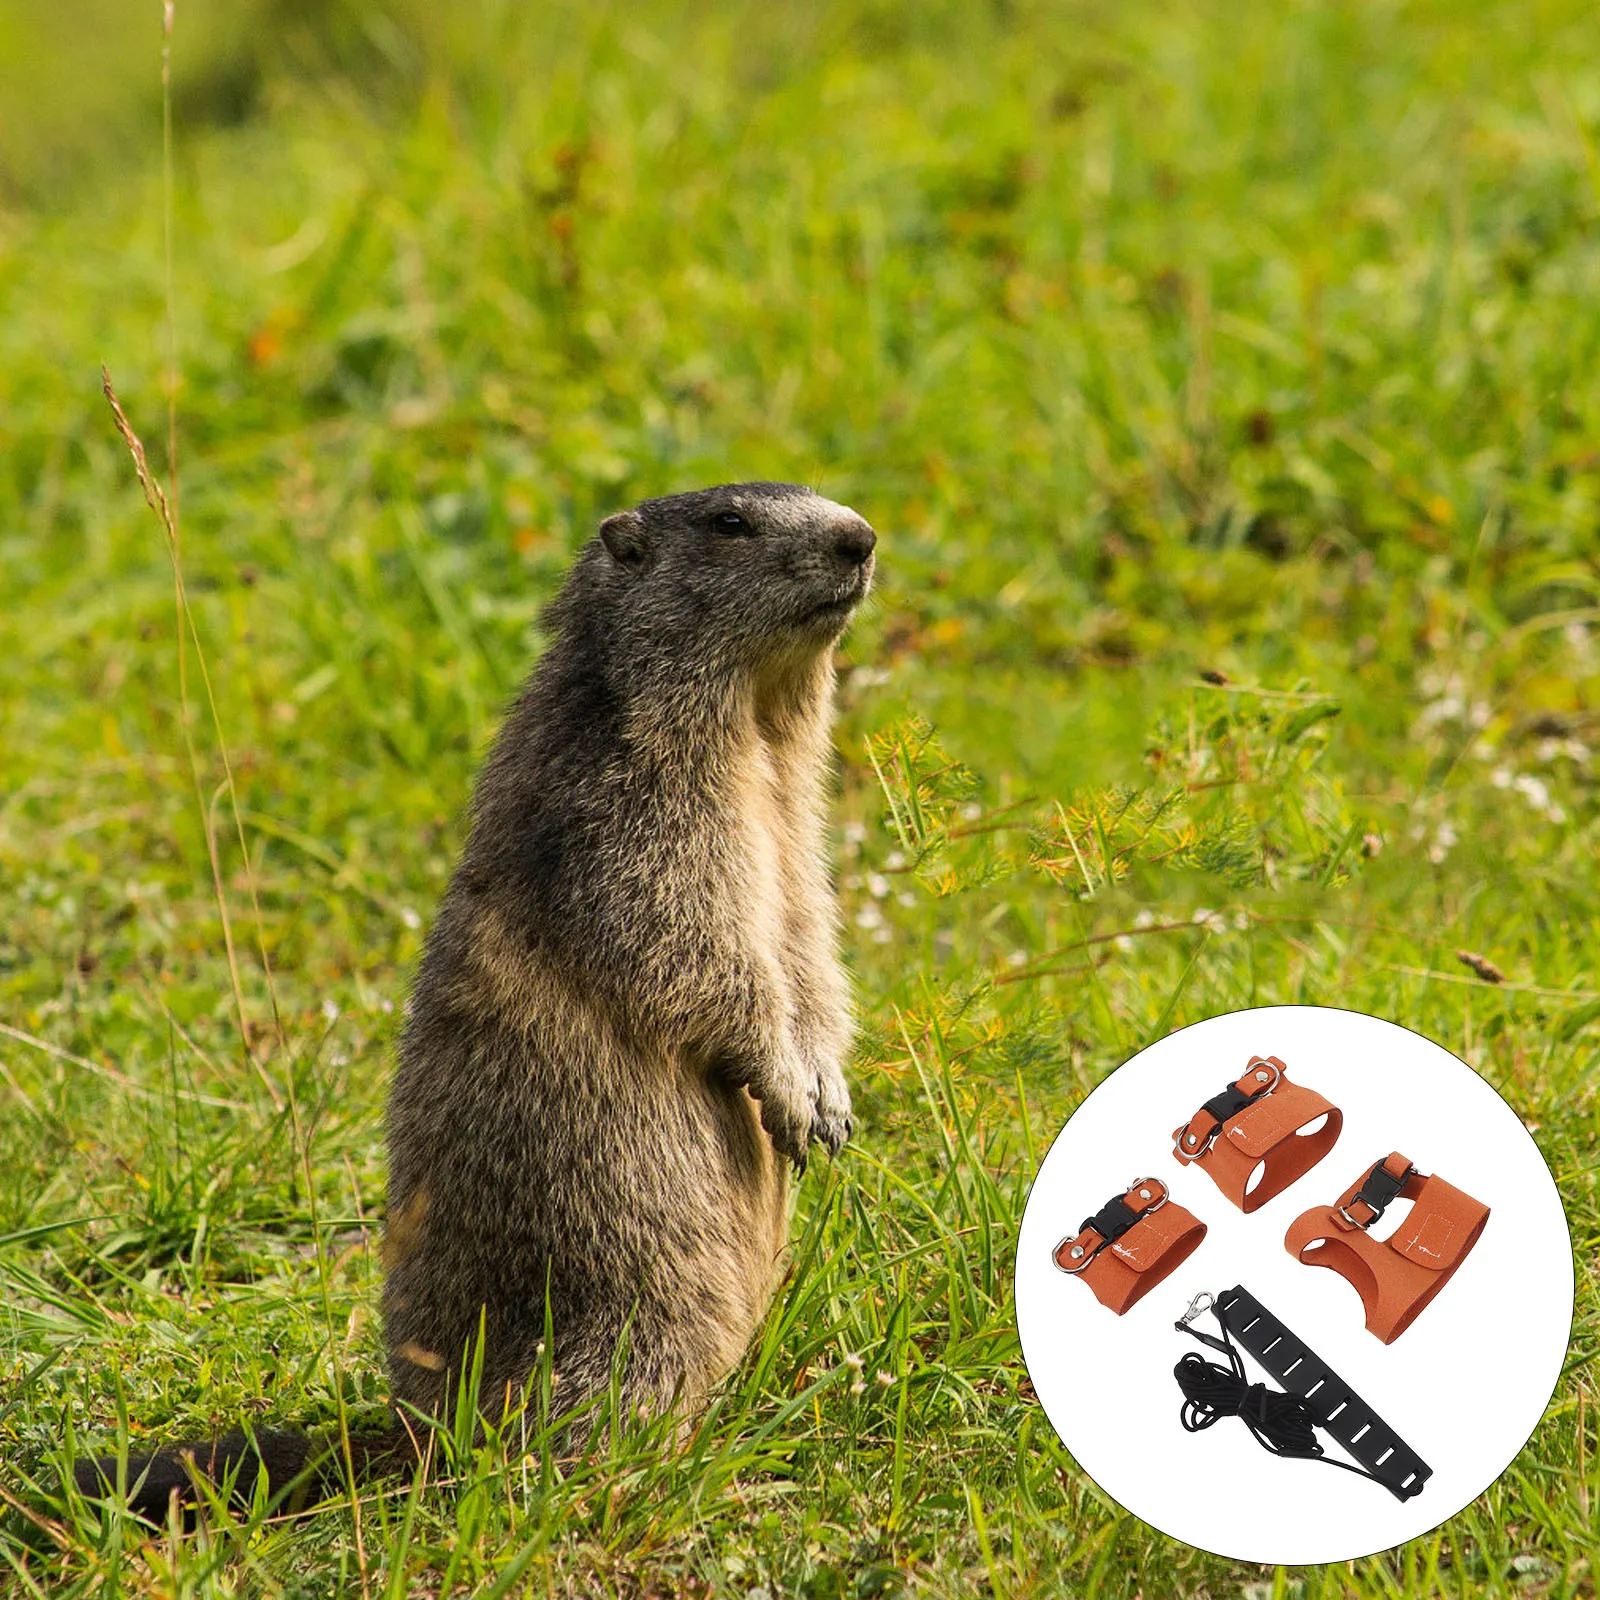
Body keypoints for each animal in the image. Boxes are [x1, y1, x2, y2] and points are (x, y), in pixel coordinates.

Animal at [72, 482, 875, 1519]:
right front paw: (788, 1086)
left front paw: (830, 1095)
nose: (863, 537)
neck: (760, 731)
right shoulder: (628, 794)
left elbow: (809, 939)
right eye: (730, 524)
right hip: (634, 1301)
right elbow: (684, 928)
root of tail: (412, 1436)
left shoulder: (797, 827)